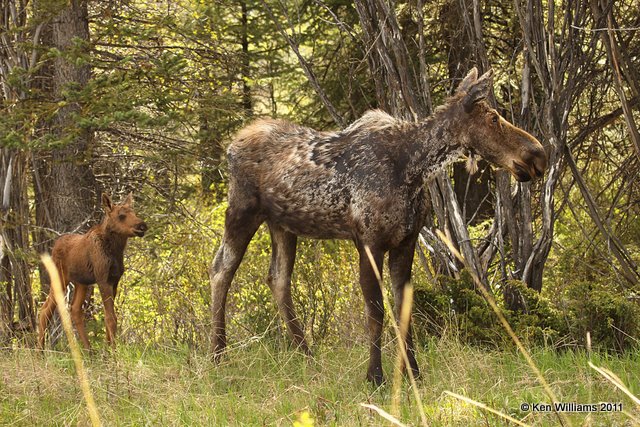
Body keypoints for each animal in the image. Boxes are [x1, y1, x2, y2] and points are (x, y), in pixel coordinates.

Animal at [38, 194, 148, 352]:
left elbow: (109, 317)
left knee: (75, 310)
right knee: (45, 310)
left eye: (134, 212)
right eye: (121, 216)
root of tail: (55, 246)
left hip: (81, 282)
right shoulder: (103, 279)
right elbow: (110, 318)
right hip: (60, 278)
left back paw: (88, 350)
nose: (142, 226)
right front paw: (113, 352)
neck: (115, 251)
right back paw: (39, 352)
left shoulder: (114, 281)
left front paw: (108, 349)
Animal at [210, 68, 544, 386]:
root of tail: (230, 146)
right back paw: (217, 354)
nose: (538, 154)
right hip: (242, 209)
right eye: (494, 118)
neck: (413, 171)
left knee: (278, 279)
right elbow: (376, 312)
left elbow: (403, 309)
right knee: (220, 269)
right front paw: (375, 376)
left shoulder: (405, 242)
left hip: (283, 224)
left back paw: (307, 355)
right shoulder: (369, 242)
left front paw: (414, 374)